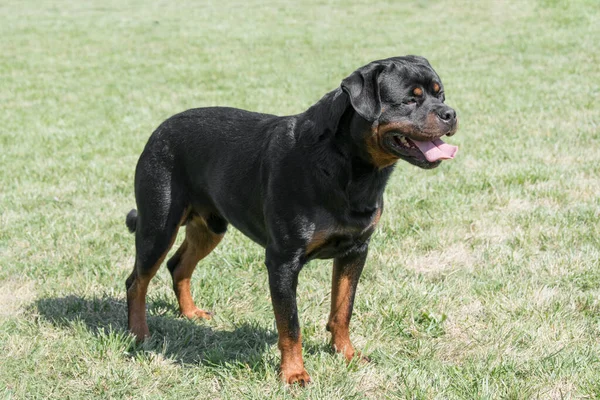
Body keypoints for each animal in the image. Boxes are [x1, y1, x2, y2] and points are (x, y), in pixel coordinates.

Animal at [124, 54, 458, 382]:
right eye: (410, 100)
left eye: (439, 94)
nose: (451, 113)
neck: (347, 168)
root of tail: (159, 130)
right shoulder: (282, 261)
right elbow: (290, 325)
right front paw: (294, 373)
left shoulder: (356, 250)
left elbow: (343, 309)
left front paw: (346, 354)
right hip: (158, 225)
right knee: (137, 280)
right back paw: (139, 333)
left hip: (211, 226)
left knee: (178, 265)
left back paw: (190, 314)